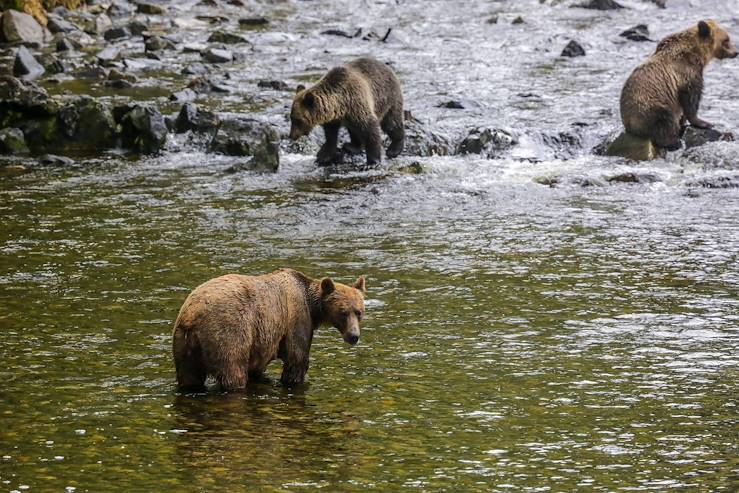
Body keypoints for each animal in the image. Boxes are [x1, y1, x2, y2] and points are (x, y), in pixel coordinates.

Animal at [171, 268, 368, 390]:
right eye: (343, 312)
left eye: (359, 312)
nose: (354, 336)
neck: (312, 307)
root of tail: (191, 314)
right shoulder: (297, 318)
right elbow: (297, 358)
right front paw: (294, 379)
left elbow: (258, 367)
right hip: (228, 332)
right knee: (233, 369)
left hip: (184, 344)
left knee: (189, 376)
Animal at [620, 19, 736, 150]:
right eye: (726, 40)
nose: (736, 52)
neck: (697, 54)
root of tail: (629, 124)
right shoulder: (686, 73)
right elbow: (691, 98)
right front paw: (705, 123)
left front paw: (684, 121)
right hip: (648, 108)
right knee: (664, 120)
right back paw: (673, 141)